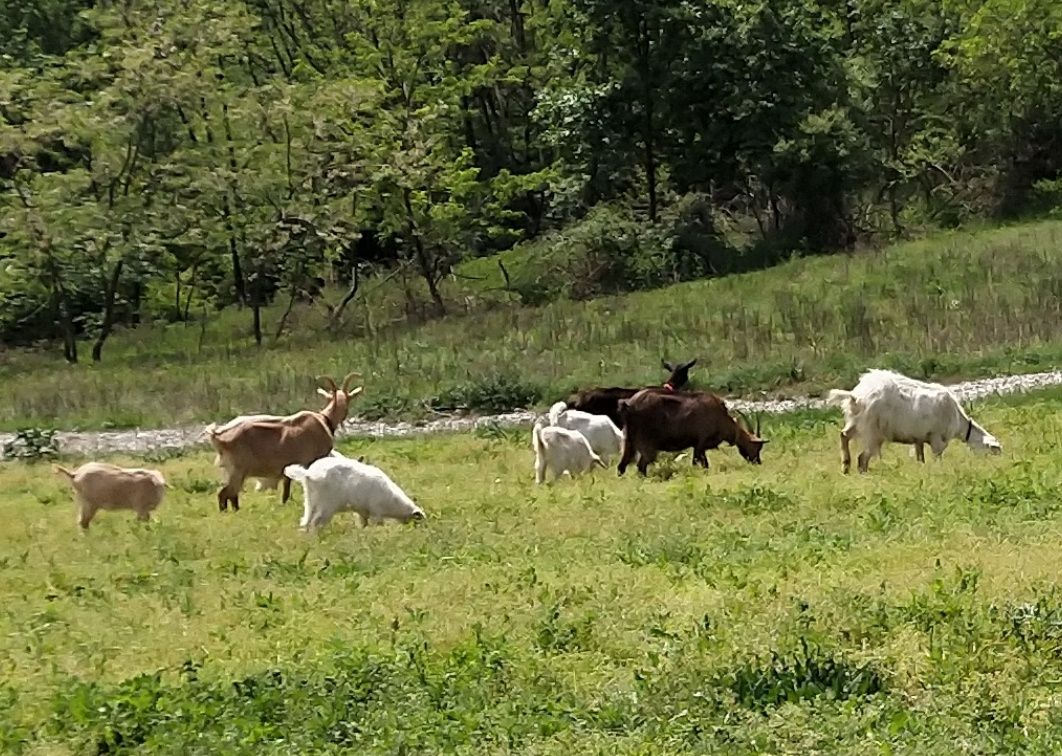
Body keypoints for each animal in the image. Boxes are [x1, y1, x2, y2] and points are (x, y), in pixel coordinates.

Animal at [207, 369, 365, 511]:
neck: (324, 419)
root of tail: (219, 436)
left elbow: (286, 488)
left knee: (230, 494)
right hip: (237, 470)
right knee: (225, 493)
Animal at [288, 454, 429, 530]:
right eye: (419, 521)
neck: (393, 501)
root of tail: (309, 473)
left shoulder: (363, 511)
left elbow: (363, 523)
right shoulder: (376, 512)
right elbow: (377, 524)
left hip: (310, 500)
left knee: (306, 521)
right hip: (327, 505)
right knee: (315, 522)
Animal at [620, 386, 768, 475]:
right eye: (757, 447)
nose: (758, 462)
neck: (721, 416)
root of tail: (630, 404)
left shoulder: (699, 447)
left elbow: (705, 464)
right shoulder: (700, 444)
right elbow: (698, 464)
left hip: (629, 442)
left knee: (621, 466)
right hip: (647, 445)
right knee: (641, 466)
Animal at [828, 365, 1002, 471]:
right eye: (992, 451)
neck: (959, 421)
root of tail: (856, 396)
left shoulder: (919, 439)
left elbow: (920, 458)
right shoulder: (937, 439)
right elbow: (937, 458)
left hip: (856, 422)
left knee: (843, 436)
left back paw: (845, 466)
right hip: (871, 431)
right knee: (862, 458)